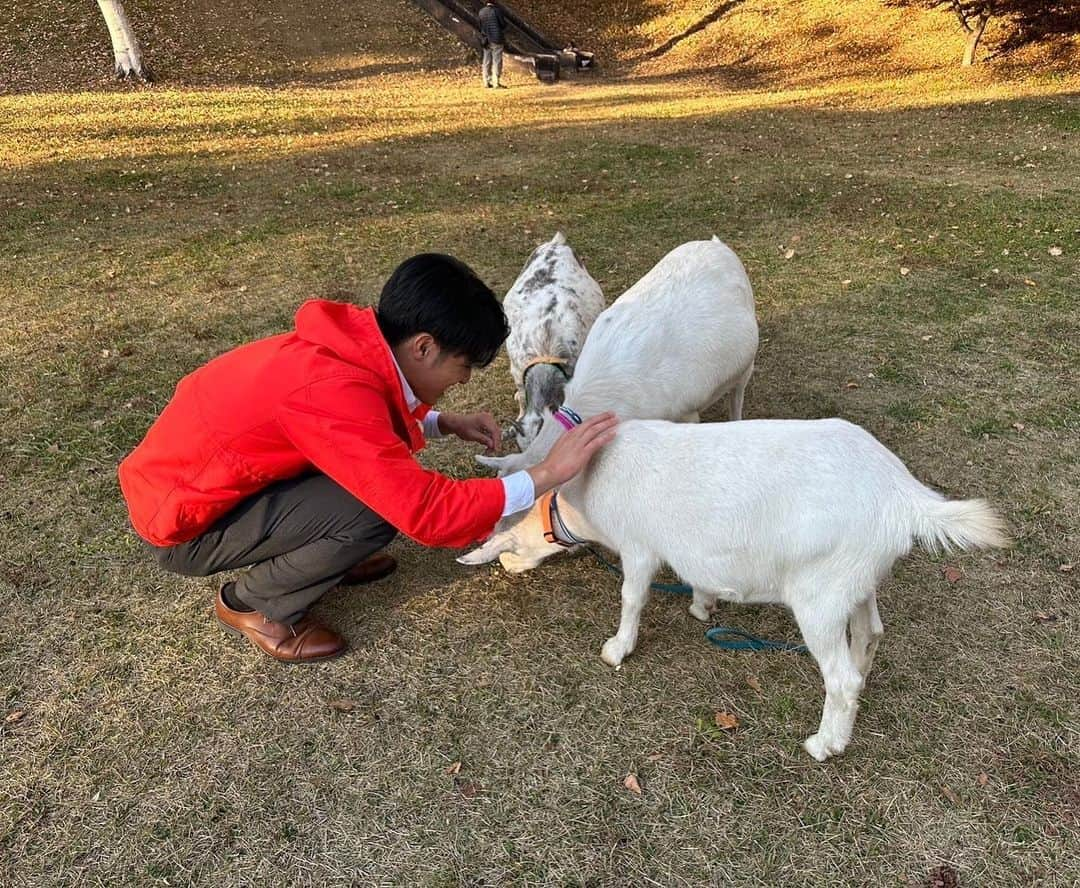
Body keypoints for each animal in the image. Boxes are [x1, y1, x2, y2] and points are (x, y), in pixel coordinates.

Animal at [460, 421, 1006, 760]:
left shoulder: (638, 547)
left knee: (840, 677)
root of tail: (902, 496)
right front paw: (703, 606)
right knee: (870, 633)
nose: (504, 563)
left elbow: (632, 597)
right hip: (855, 578)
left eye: (508, 540)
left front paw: (617, 648)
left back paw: (825, 744)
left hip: (819, 594)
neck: (584, 494)